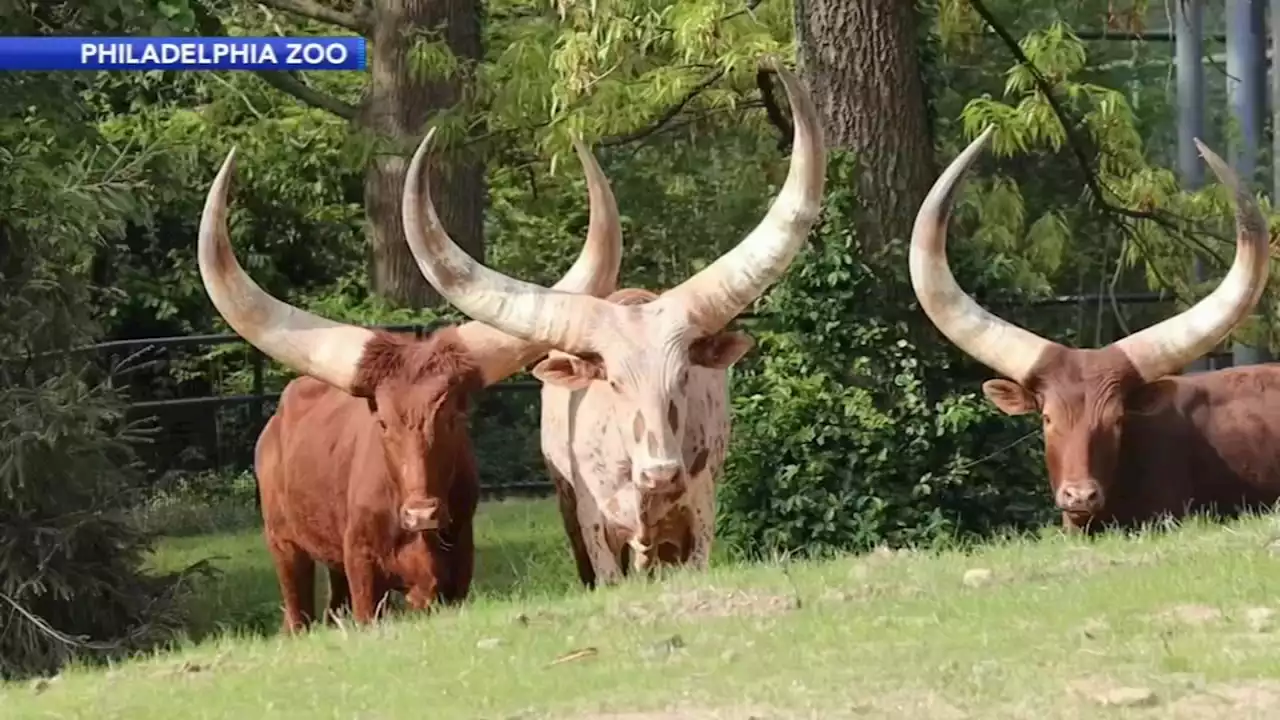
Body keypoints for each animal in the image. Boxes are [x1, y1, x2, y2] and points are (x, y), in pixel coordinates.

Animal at [193, 141, 619, 627]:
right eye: (381, 422)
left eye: (452, 416)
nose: (421, 514)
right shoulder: (362, 565)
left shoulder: (456, 567)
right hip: (283, 543)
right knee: (297, 610)